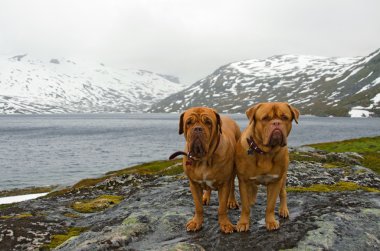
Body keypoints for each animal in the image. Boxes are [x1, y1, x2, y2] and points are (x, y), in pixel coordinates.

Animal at [235, 102, 300, 231]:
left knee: (283, 193)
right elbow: (245, 206)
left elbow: (270, 205)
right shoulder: (244, 181)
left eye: (284, 117)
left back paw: (283, 210)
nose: (276, 123)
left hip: (283, 178)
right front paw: (243, 223)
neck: (265, 152)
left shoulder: (275, 181)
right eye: (265, 118)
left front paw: (270, 221)